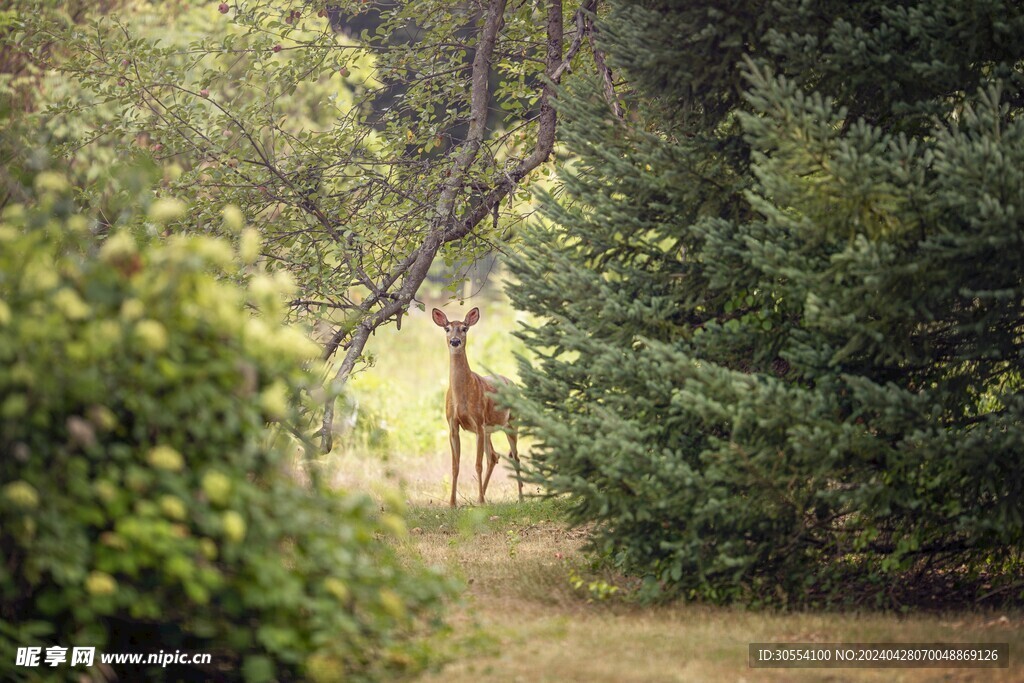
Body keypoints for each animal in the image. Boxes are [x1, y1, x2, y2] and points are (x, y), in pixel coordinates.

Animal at [430, 305, 520, 507]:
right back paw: (483, 495)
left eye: (464, 328)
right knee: (494, 456)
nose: (455, 341)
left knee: (515, 457)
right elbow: (455, 466)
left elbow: (477, 464)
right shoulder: (452, 425)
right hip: (489, 430)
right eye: (447, 328)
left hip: (511, 423)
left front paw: (478, 500)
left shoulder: (478, 422)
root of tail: (513, 383)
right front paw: (453, 503)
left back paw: (520, 497)